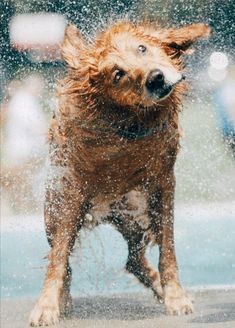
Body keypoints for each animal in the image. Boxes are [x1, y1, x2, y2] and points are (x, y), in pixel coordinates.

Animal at [28, 19, 210, 326]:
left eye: (142, 48)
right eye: (118, 74)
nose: (155, 78)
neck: (131, 125)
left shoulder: (162, 184)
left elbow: (168, 250)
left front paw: (175, 296)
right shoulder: (71, 197)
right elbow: (58, 260)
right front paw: (47, 306)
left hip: (135, 214)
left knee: (134, 260)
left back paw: (159, 286)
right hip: (58, 210)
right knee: (65, 255)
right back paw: (63, 300)